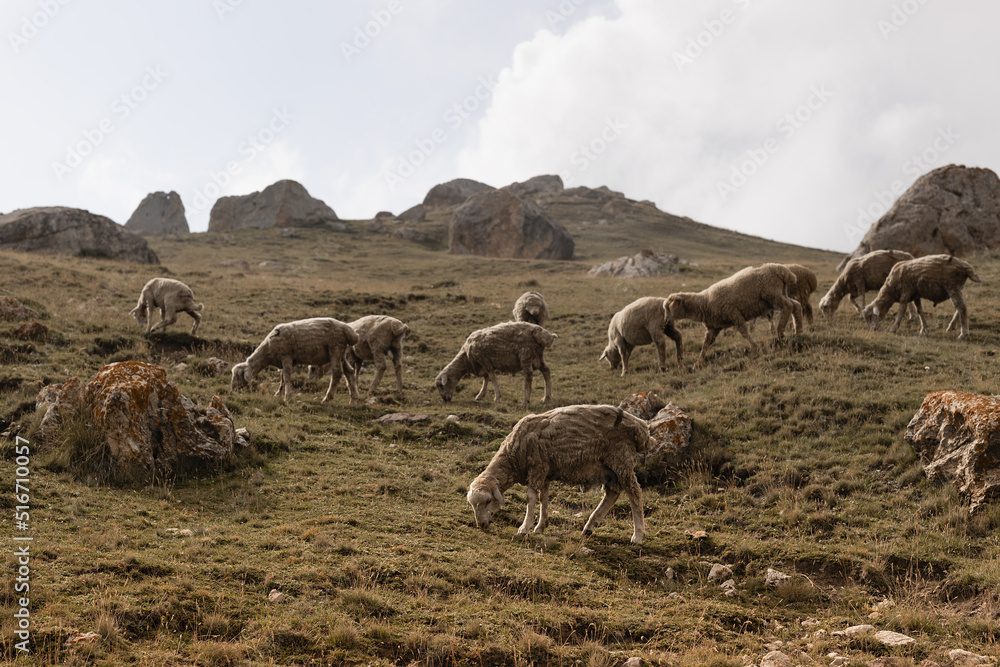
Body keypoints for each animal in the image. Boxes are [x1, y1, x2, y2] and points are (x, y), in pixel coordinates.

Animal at [231, 317, 360, 402]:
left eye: (238, 375)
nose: (232, 389)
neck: (267, 350)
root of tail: (349, 330)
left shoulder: (286, 357)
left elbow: (287, 377)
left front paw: (287, 397)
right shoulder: (284, 361)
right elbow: (282, 379)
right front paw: (278, 394)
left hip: (335, 348)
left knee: (337, 373)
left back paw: (327, 398)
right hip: (341, 353)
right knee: (349, 371)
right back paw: (354, 399)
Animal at [467, 404, 650, 545]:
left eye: (488, 501)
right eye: (472, 505)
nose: (481, 524)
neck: (514, 455)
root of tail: (641, 428)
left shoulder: (537, 468)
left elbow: (531, 498)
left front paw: (524, 528)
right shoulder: (545, 472)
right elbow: (544, 498)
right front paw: (540, 526)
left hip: (621, 458)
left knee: (634, 493)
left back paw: (637, 536)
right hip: (609, 466)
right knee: (612, 493)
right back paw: (589, 527)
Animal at [666, 263, 802, 367]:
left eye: (672, 306)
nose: (666, 320)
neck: (705, 302)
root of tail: (782, 270)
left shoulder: (734, 314)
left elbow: (744, 332)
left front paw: (755, 347)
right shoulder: (713, 328)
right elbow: (706, 344)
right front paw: (698, 363)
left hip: (773, 295)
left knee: (789, 306)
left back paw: (780, 331)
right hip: (780, 293)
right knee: (796, 305)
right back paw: (798, 331)